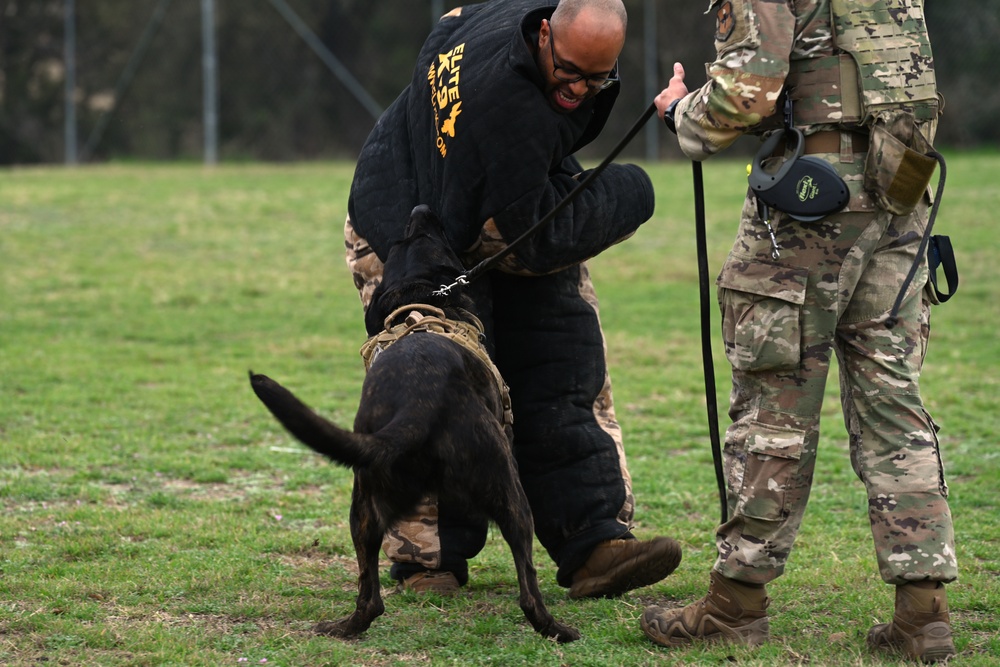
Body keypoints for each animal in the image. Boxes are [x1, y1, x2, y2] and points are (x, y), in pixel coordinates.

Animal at [248, 204, 580, 640]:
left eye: (402, 240)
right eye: (433, 236)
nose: (422, 208)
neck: (418, 298)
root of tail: (418, 403)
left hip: (364, 508)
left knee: (370, 598)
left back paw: (344, 627)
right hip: (511, 494)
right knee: (527, 585)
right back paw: (558, 630)